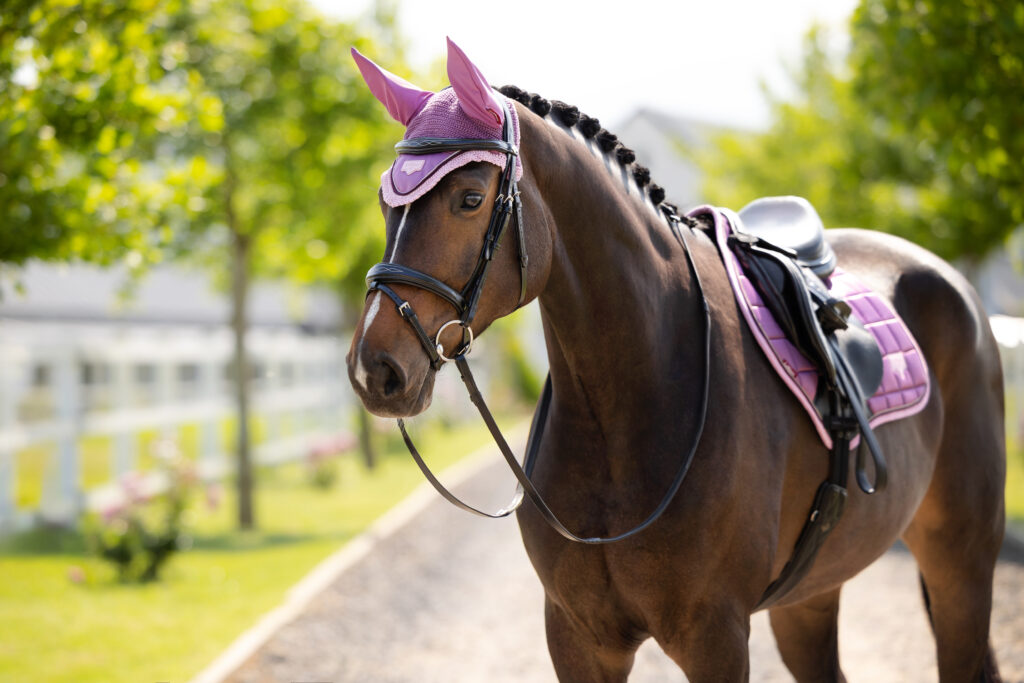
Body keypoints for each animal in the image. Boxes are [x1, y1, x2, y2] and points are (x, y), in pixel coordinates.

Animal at [346, 40, 1006, 682]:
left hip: (961, 567)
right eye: (383, 201)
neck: (629, 401)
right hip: (811, 595)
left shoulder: (715, 637)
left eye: (470, 198)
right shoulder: (579, 639)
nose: (375, 370)